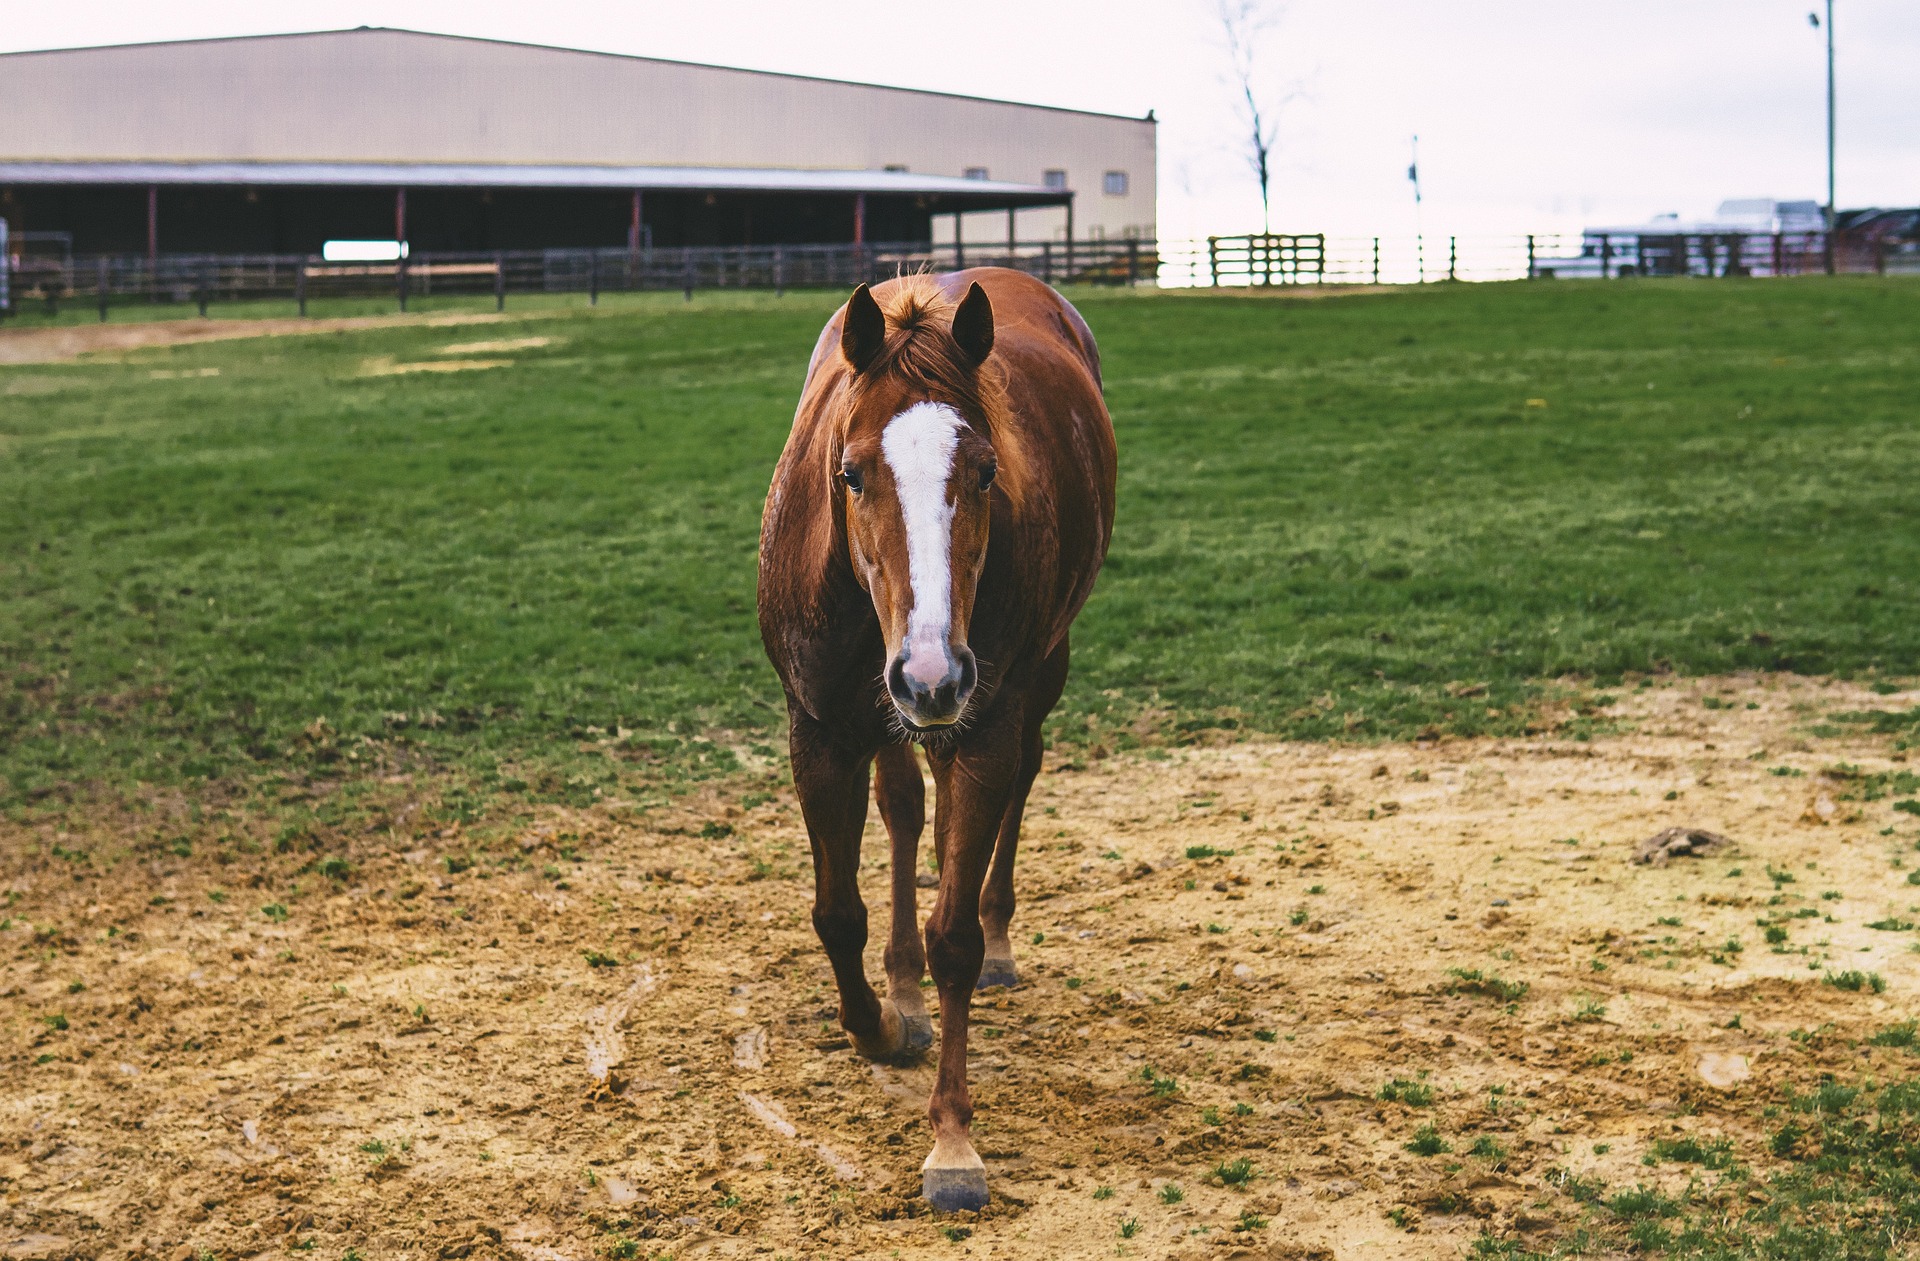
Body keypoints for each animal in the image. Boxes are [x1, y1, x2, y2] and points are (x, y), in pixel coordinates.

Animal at [756, 268, 1121, 1213]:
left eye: (986, 470)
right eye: (850, 473)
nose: (931, 673)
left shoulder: (982, 724)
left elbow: (954, 933)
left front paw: (953, 1141)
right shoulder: (819, 730)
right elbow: (836, 911)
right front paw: (881, 1023)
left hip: (1031, 675)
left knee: (1016, 785)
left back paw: (995, 940)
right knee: (904, 807)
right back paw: (903, 983)